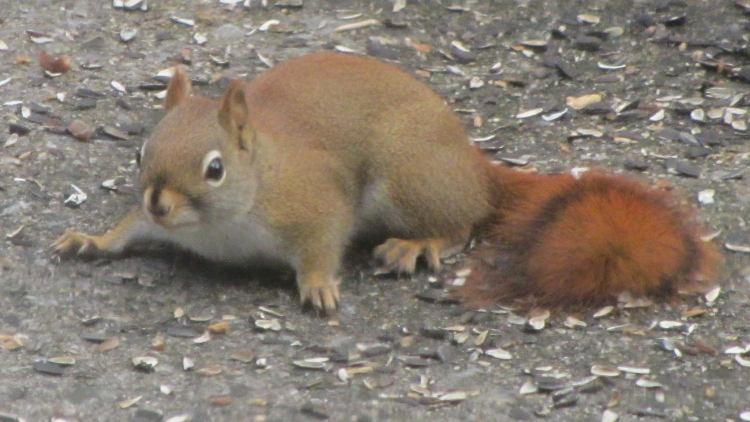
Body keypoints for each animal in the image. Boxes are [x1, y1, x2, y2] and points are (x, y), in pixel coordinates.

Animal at [52, 51, 719, 313]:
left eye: (214, 169)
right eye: (142, 152)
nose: (161, 206)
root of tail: (472, 167)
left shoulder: (315, 205)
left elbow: (323, 245)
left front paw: (319, 286)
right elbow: (122, 230)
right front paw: (91, 240)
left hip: (407, 177)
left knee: (460, 224)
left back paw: (415, 245)